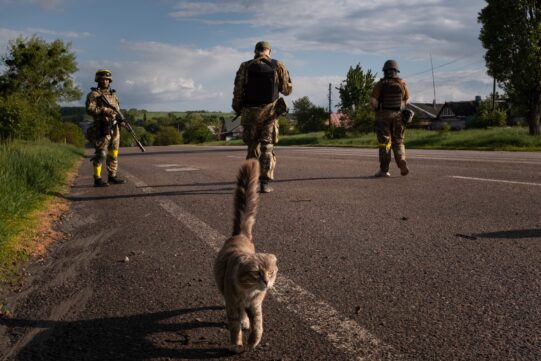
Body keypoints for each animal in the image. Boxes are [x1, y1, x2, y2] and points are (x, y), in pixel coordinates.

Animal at [212, 158, 276, 352]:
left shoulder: (255, 306)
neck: (249, 291)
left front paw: (253, 340)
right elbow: (234, 326)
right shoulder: (233, 304)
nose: (266, 282)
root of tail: (240, 234)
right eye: (256, 273)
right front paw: (236, 343)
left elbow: (259, 325)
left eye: (271, 273)